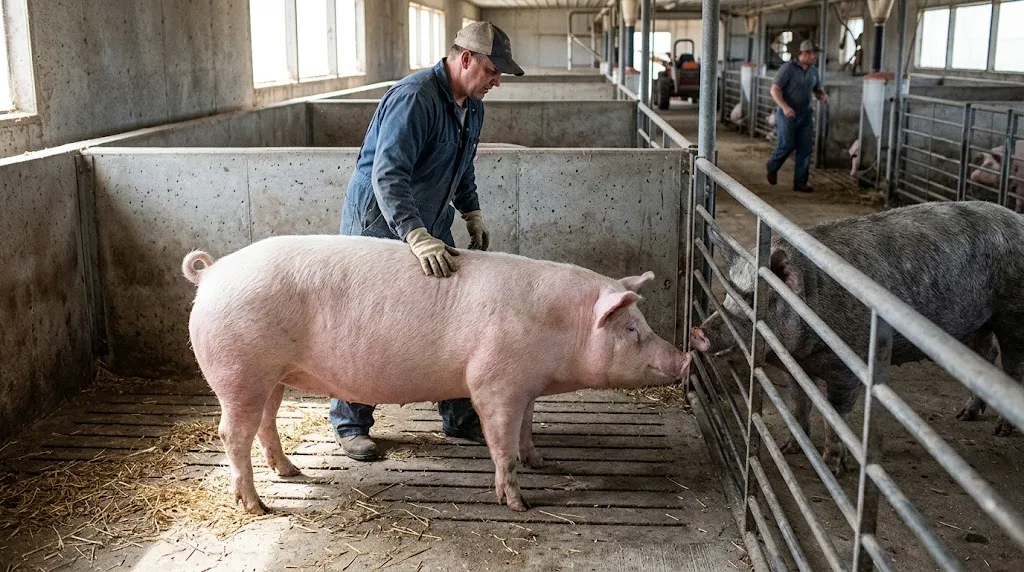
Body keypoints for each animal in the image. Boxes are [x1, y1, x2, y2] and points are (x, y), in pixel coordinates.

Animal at [182, 235, 697, 514]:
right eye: (631, 329)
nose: (686, 357)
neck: (557, 328)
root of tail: (212, 273)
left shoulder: (526, 384)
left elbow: (527, 427)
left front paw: (541, 461)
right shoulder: (494, 382)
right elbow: (501, 444)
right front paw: (520, 503)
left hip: (270, 375)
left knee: (266, 423)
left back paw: (290, 471)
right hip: (238, 370)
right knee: (232, 434)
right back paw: (257, 505)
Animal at [689, 201, 1024, 476]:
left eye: (752, 299)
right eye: (728, 292)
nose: (699, 332)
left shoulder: (847, 365)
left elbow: (835, 417)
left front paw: (830, 467)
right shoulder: (796, 365)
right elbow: (799, 404)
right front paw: (790, 447)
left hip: (1012, 315)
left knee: (1012, 368)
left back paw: (1001, 430)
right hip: (975, 323)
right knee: (987, 355)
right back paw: (965, 415)